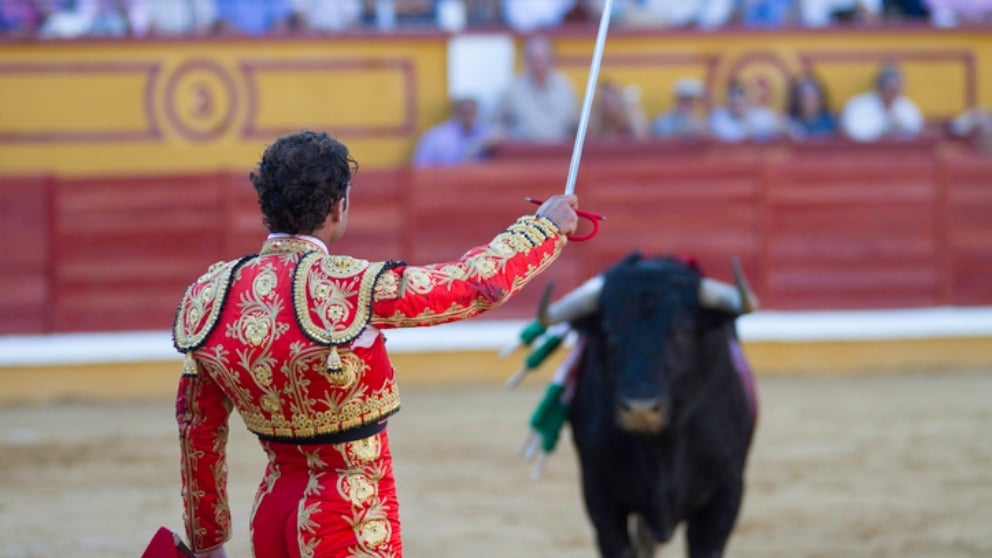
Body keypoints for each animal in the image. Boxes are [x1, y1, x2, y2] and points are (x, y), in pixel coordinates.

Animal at [540, 256, 756, 558]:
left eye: (683, 331)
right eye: (608, 331)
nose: (640, 409)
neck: (660, 447)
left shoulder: (726, 494)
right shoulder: (599, 494)